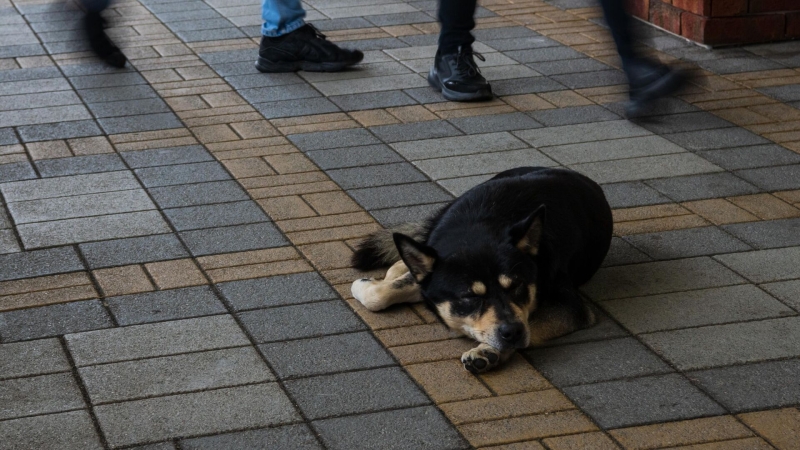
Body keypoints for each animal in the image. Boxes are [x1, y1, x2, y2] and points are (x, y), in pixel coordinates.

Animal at [352, 168, 612, 372]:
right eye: (470, 296)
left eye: (517, 286)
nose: (513, 332)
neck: (479, 230)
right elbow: (378, 294)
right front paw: (370, 285)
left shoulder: (571, 307)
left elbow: (531, 324)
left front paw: (489, 352)